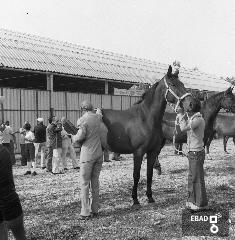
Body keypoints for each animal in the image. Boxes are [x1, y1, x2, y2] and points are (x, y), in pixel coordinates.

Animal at [101, 66, 196, 206]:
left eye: (183, 84)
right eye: (173, 84)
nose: (191, 104)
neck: (146, 118)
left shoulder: (152, 151)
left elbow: (149, 174)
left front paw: (150, 197)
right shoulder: (139, 152)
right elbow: (136, 175)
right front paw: (135, 199)